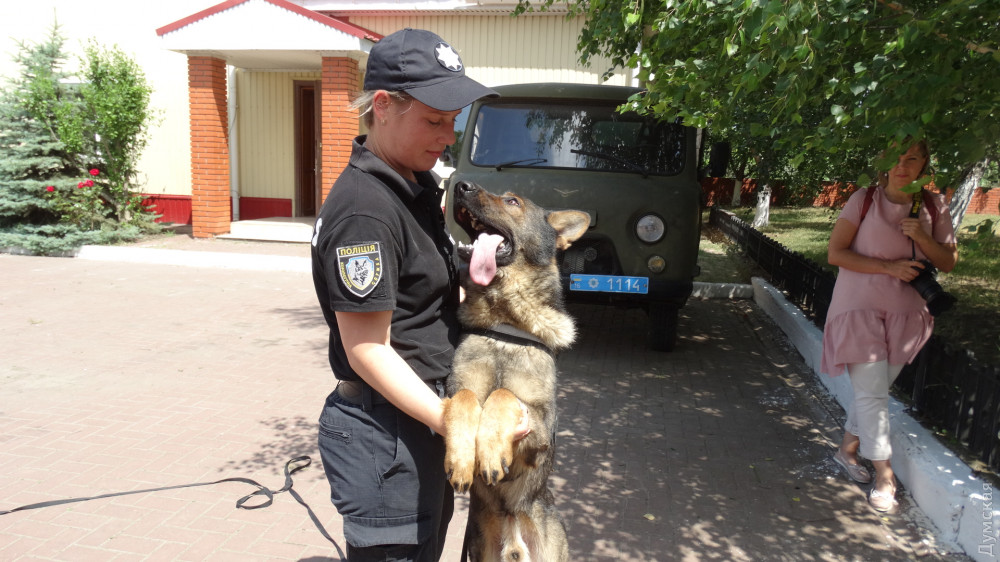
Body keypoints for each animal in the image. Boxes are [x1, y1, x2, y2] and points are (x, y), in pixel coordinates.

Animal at [442, 180, 588, 560]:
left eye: (512, 202)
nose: (461, 186)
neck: (506, 323)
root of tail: (512, 525)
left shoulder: (542, 423)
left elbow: (503, 393)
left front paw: (492, 449)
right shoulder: (455, 388)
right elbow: (466, 398)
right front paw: (462, 457)